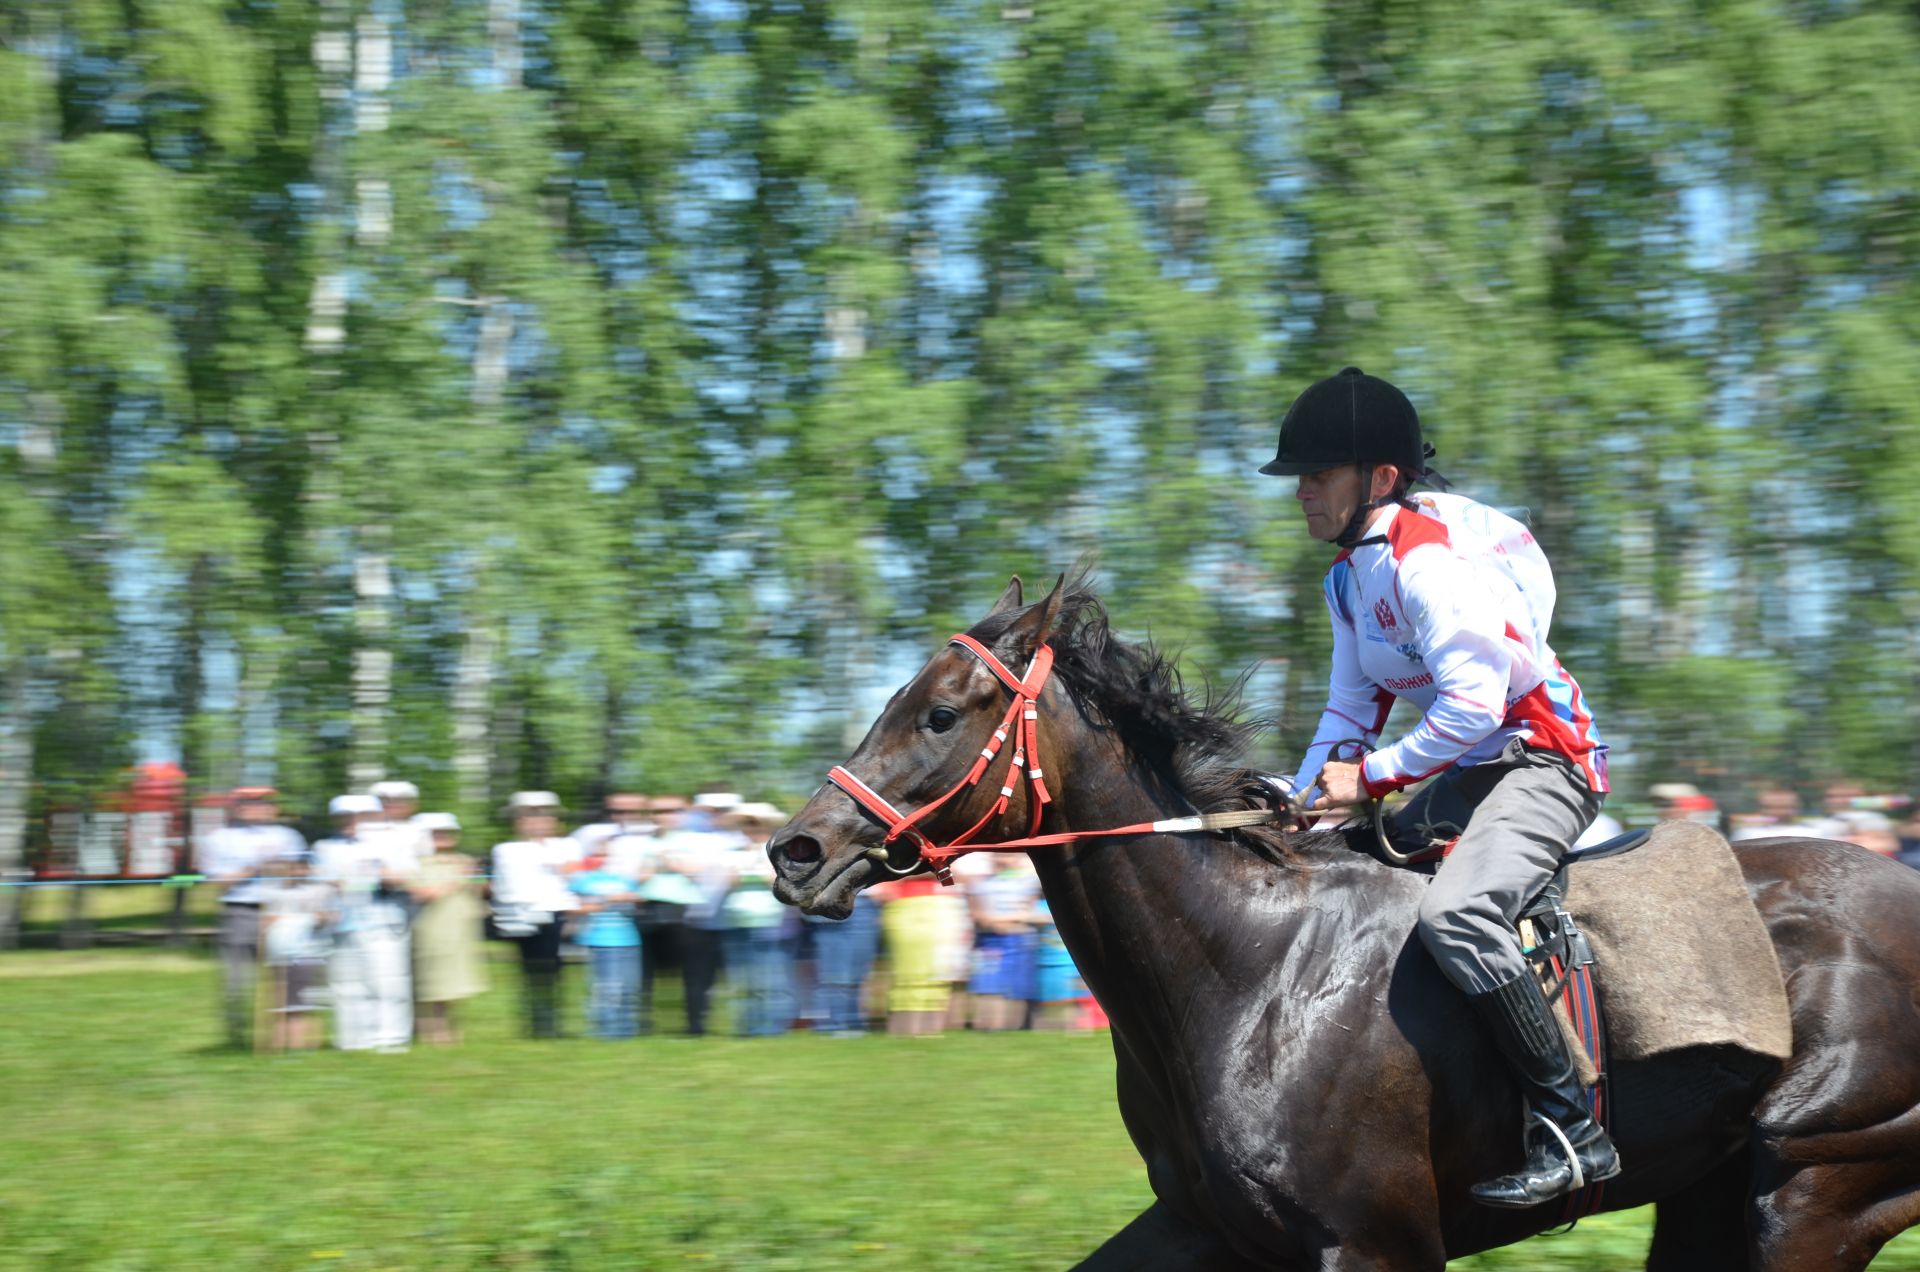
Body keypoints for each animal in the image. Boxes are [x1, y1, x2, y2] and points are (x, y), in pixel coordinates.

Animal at [771, 580, 1920, 1272]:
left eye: (940, 713)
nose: (796, 851)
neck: (1249, 974)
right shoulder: (1205, 1226)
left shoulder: (1375, 1242)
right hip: (1712, 1193)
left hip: (1816, 1183)